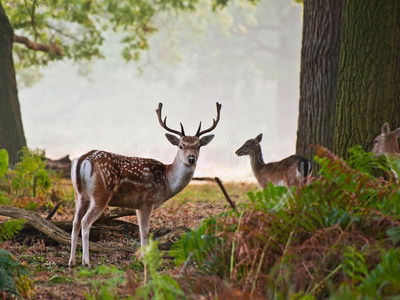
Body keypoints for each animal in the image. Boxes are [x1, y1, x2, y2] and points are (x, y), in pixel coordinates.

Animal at [67, 102, 220, 266]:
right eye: (180, 145)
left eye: (198, 146)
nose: (191, 158)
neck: (167, 183)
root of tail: (82, 160)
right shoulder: (148, 201)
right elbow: (146, 231)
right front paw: (145, 259)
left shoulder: (138, 205)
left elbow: (140, 231)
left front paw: (140, 257)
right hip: (100, 194)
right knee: (85, 221)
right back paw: (86, 262)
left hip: (79, 195)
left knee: (75, 222)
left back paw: (71, 261)